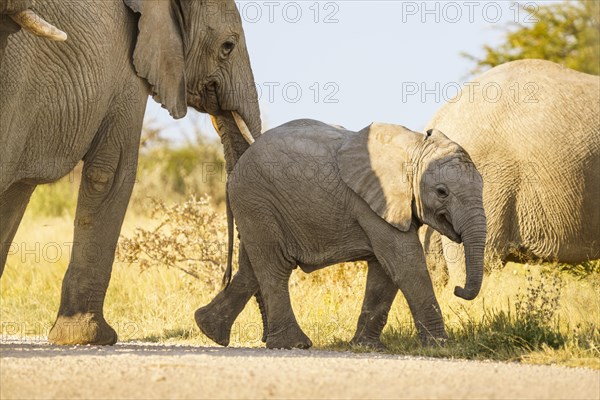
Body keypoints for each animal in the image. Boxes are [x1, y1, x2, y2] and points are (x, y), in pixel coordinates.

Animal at [0, 0, 262, 344]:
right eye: (227, 47)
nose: (209, 328)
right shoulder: (127, 66)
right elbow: (112, 171)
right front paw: (89, 337)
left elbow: (17, 191)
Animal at [195, 119, 486, 350]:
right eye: (442, 192)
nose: (458, 290)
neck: (413, 147)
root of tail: (232, 173)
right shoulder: (371, 201)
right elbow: (405, 265)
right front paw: (442, 347)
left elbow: (384, 272)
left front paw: (366, 348)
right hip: (257, 200)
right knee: (274, 267)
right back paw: (294, 345)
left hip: (255, 207)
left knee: (251, 269)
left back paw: (209, 330)